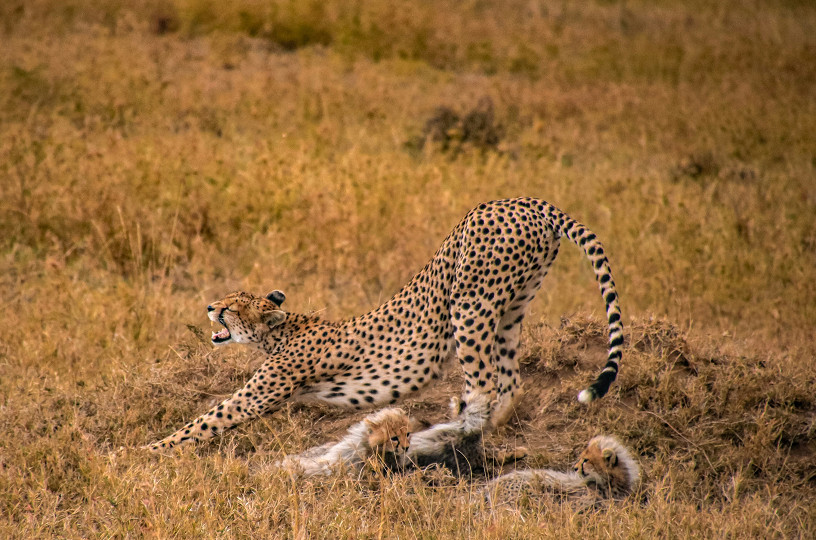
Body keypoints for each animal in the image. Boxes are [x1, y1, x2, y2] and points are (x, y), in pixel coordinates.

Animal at [147, 198, 620, 452]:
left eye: (230, 308)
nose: (210, 307)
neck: (282, 330)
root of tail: (525, 201)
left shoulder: (258, 394)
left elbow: (207, 419)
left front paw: (150, 450)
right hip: (511, 306)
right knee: (510, 380)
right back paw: (482, 425)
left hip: (469, 303)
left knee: (485, 381)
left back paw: (455, 431)